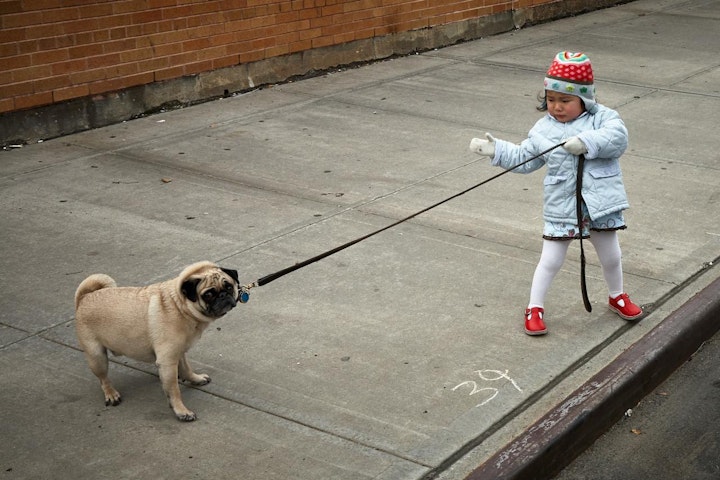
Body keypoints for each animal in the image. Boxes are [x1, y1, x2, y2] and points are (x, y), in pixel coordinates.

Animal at [75, 260, 240, 422]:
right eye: (209, 294)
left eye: (229, 286)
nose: (223, 295)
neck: (179, 305)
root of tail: (84, 297)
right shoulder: (168, 361)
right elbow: (174, 390)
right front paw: (181, 411)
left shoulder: (179, 352)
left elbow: (187, 369)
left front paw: (196, 379)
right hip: (97, 357)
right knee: (103, 379)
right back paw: (111, 394)